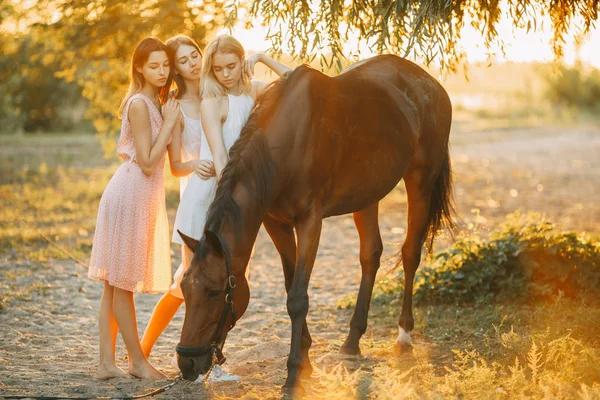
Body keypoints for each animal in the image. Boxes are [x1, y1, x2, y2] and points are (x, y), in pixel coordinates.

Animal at [176, 54, 452, 394]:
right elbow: (290, 283)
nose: (186, 364)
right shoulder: (275, 223)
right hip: (367, 195)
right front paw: (306, 356)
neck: (284, 146)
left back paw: (403, 335)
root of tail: (430, 84)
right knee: (371, 255)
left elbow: (297, 298)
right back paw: (352, 342)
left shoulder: (310, 221)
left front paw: (295, 373)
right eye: (185, 289)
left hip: (420, 182)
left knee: (410, 253)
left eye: (214, 292)